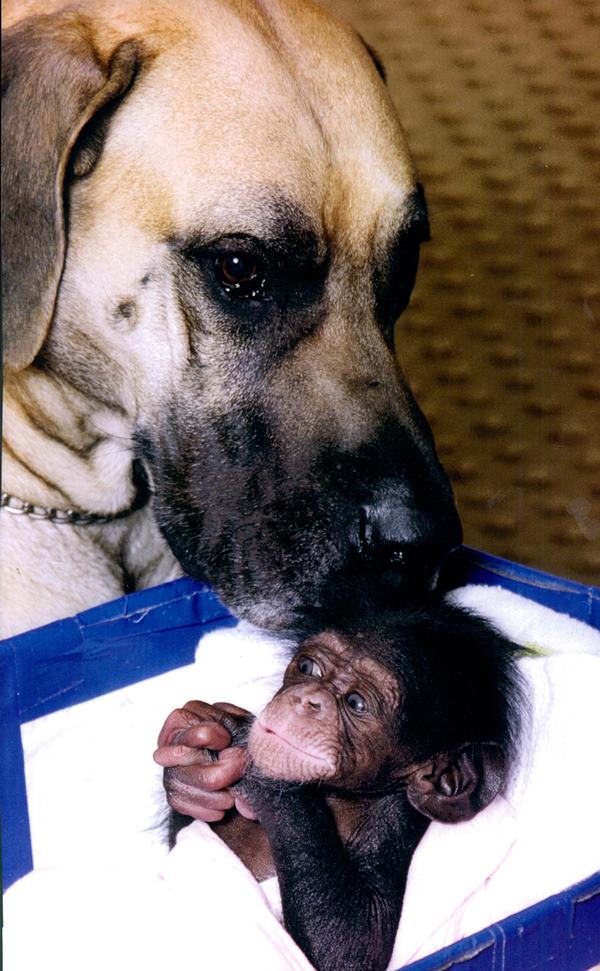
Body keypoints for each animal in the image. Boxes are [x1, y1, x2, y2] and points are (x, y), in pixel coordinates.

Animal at [162, 600, 524, 971]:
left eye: (356, 703)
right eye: (307, 667)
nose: (307, 698)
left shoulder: (397, 821)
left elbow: (355, 941)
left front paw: (256, 760)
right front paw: (193, 754)